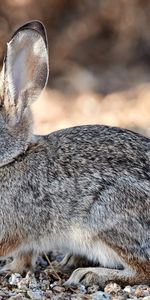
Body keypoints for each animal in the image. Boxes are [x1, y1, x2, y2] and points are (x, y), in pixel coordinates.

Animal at [0, 20, 149, 288]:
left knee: (144, 269)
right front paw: (12, 269)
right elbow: (24, 256)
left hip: (107, 217)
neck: (14, 158)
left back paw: (90, 274)